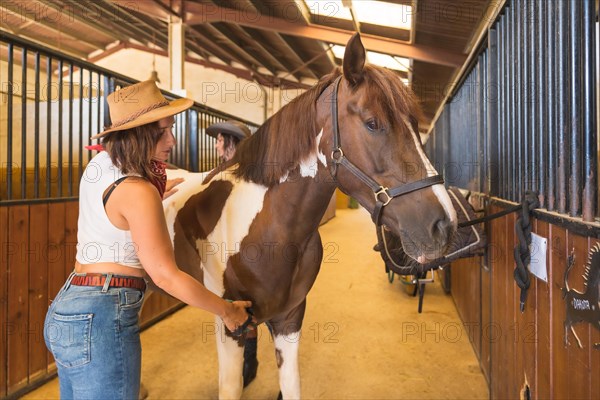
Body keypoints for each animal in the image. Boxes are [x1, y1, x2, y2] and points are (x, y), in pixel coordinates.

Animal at [158, 35, 454, 400]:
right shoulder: (230, 325)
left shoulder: (290, 318)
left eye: (415, 126)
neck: (268, 231)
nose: (444, 225)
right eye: (372, 123)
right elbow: (231, 386)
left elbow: (291, 385)